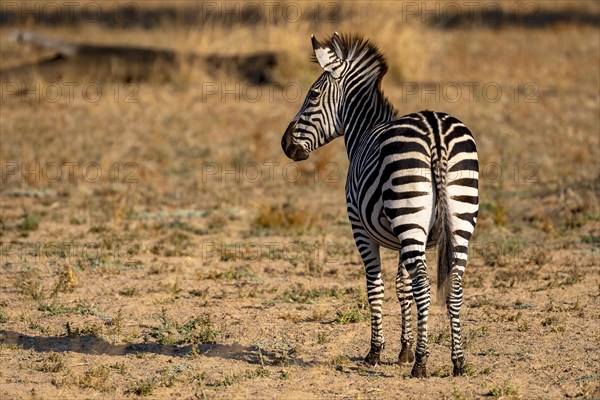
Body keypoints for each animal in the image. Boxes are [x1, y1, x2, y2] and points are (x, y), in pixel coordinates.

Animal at [280, 32, 478, 376]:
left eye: (313, 94)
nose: (285, 144)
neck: (362, 132)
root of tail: (436, 132)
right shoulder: (406, 241)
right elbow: (402, 287)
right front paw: (404, 349)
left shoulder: (360, 228)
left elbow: (376, 286)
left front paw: (377, 352)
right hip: (457, 219)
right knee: (453, 286)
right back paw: (458, 361)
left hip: (409, 216)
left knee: (425, 287)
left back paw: (422, 364)